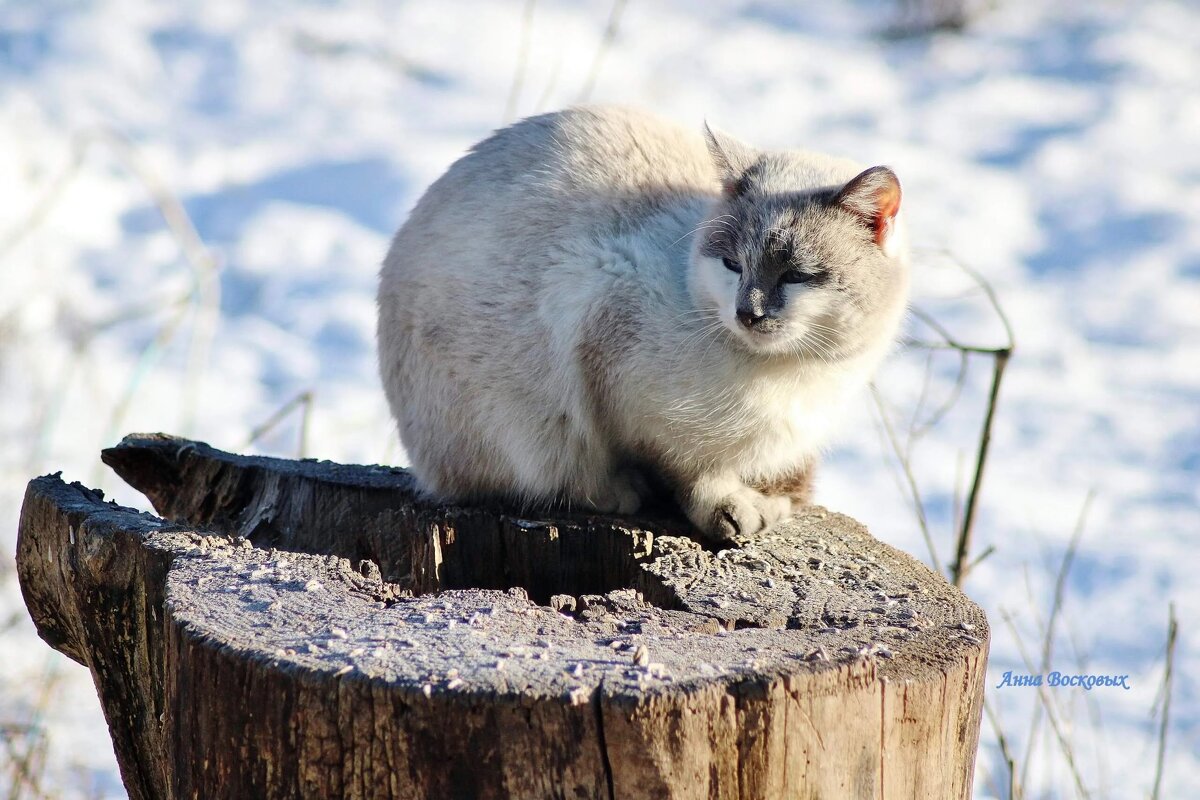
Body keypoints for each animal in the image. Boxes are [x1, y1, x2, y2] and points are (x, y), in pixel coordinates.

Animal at [376, 104, 907, 544]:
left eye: (797, 276)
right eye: (733, 265)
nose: (747, 313)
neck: (792, 373)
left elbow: (785, 484)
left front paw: (769, 504)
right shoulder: (604, 332)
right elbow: (690, 468)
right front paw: (729, 510)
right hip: (518, 415)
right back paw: (617, 491)